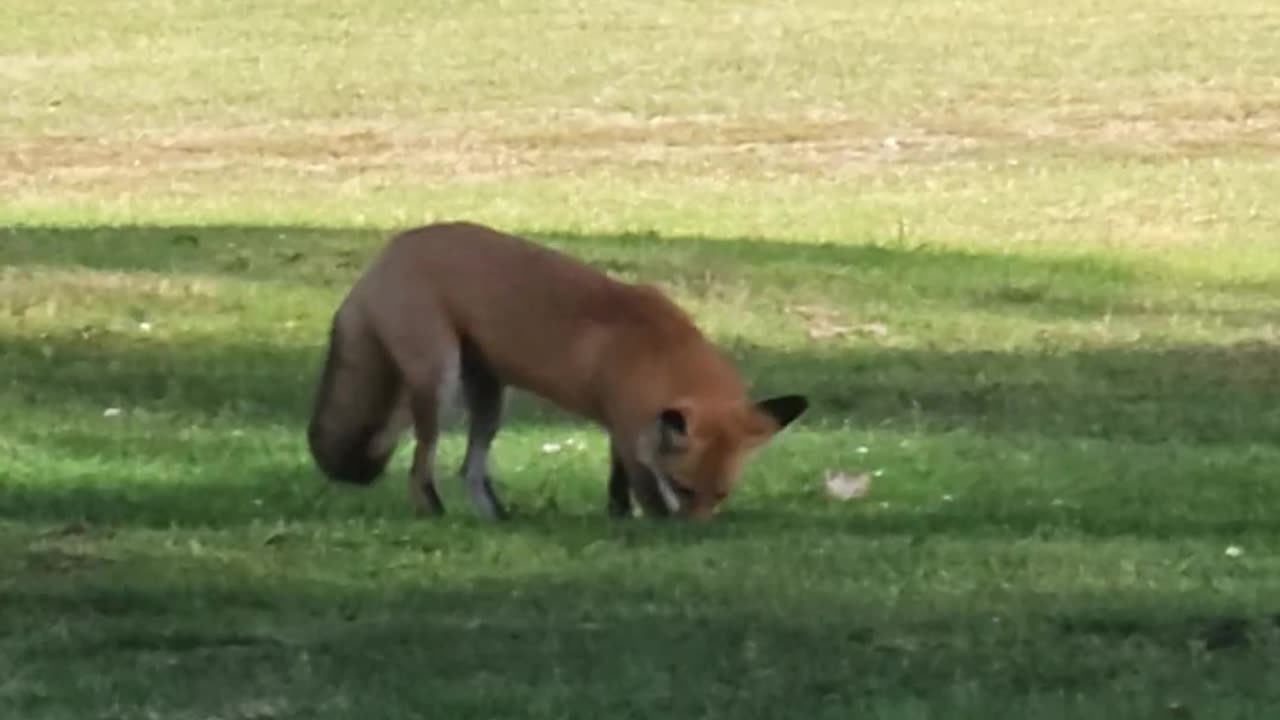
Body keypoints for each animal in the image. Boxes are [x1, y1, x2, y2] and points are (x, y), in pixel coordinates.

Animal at [305, 221, 808, 520]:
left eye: (719, 495)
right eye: (683, 489)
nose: (695, 532)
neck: (659, 351)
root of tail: (386, 253)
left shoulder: (622, 425)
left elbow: (616, 485)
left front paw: (618, 518)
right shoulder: (631, 431)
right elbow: (641, 489)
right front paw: (651, 527)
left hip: (491, 398)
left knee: (469, 470)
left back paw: (497, 519)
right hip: (439, 385)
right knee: (420, 467)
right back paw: (435, 513)